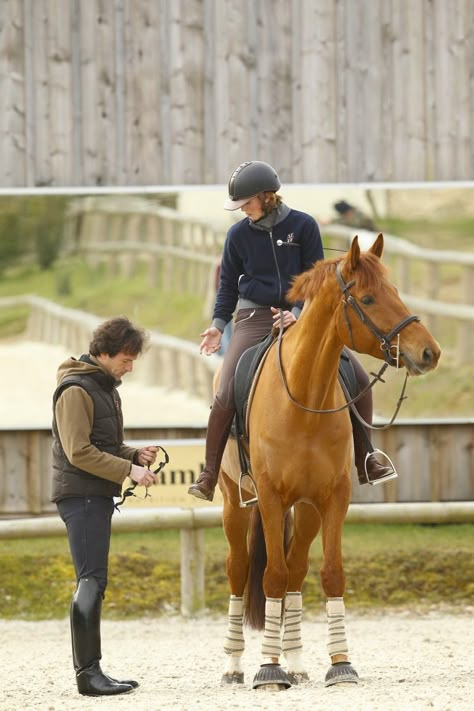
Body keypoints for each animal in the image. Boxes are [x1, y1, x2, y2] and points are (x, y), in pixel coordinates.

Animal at [215, 236, 440, 692]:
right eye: (368, 298)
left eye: (395, 291)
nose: (429, 352)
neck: (304, 397)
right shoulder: (269, 497)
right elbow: (270, 577)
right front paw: (268, 669)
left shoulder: (334, 498)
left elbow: (329, 573)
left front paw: (340, 665)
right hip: (235, 501)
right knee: (240, 569)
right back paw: (233, 665)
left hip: (305, 510)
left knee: (297, 569)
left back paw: (297, 661)